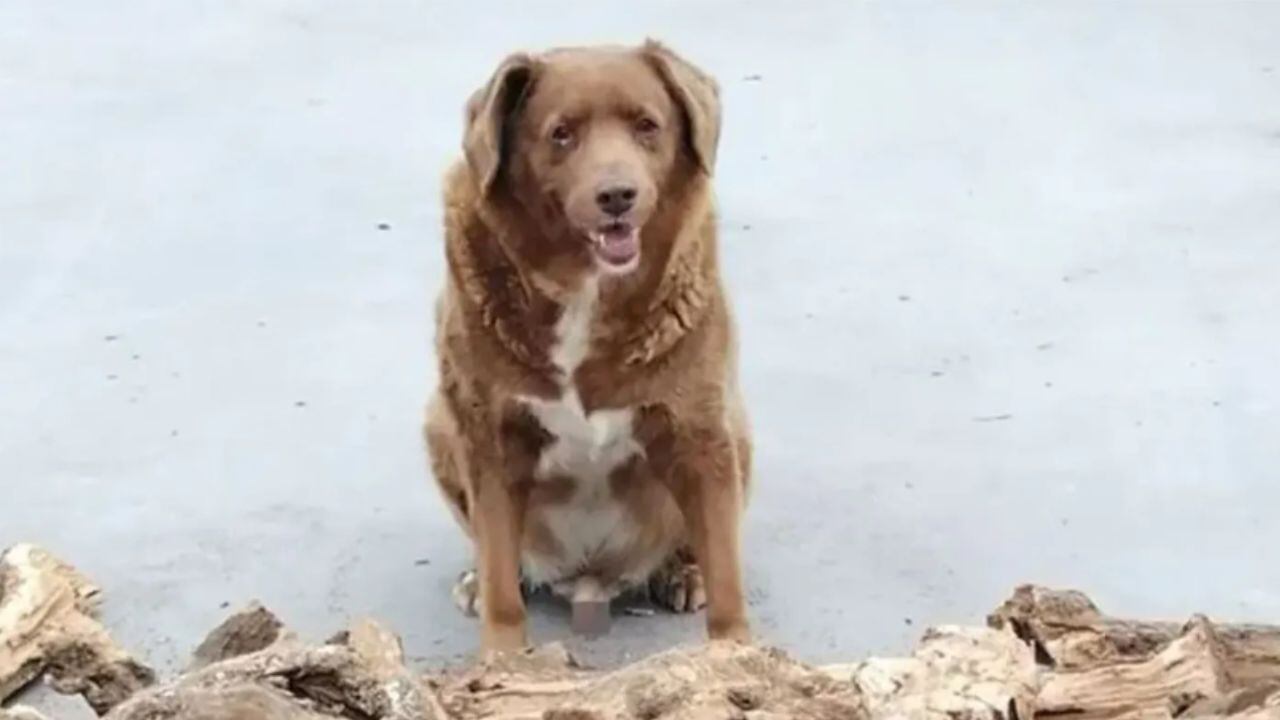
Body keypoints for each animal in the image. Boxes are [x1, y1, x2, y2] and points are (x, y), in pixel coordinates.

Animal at [424, 40, 752, 650]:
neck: (585, 290)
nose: (617, 195)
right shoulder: (490, 437)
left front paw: (736, 652)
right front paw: (503, 655)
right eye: (561, 134)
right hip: (439, 421)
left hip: (737, 431)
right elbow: (501, 575)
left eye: (647, 125)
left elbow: (727, 574)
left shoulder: (700, 431)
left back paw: (681, 572)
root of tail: (590, 575)